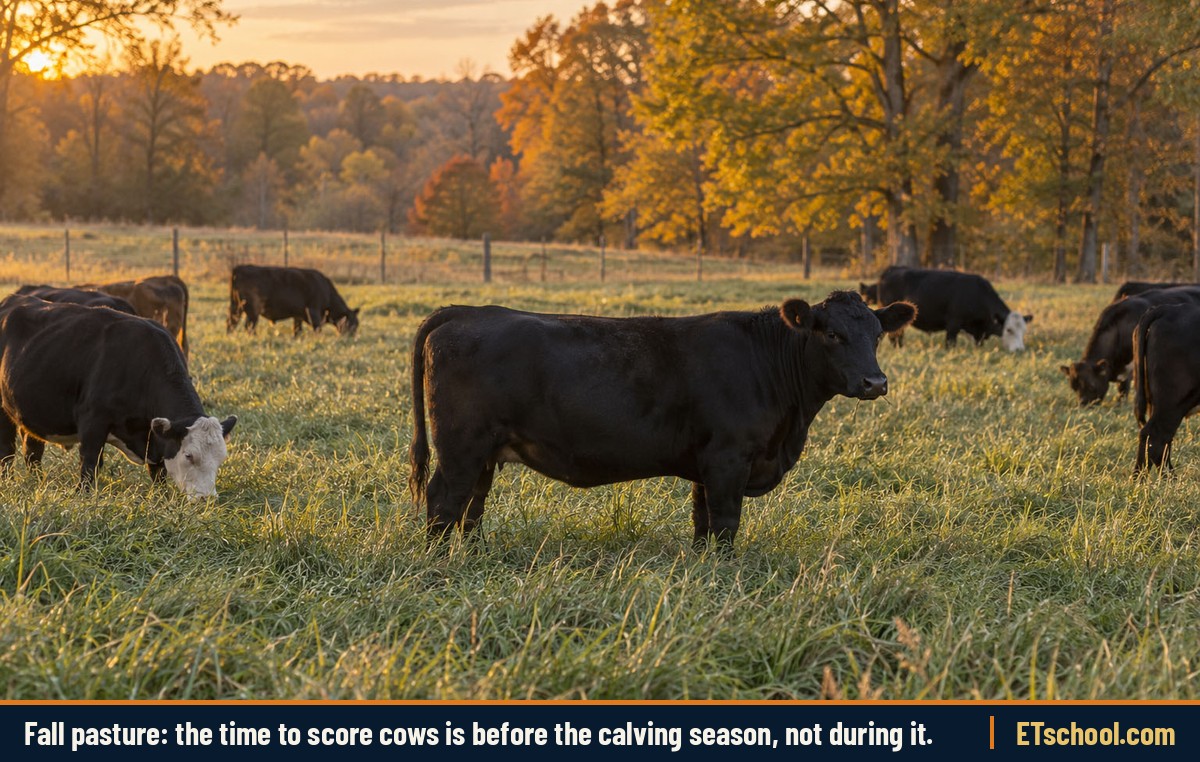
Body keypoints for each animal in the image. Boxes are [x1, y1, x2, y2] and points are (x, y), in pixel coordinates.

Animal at [0, 295, 236, 497]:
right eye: (189, 455)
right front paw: (83, 494)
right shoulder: (93, 420)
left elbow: (157, 470)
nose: (206, 498)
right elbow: (90, 462)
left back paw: (38, 481)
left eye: (221, 458)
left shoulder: (154, 437)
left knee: (32, 451)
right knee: (7, 451)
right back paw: (7, 481)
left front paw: (160, 496)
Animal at [228, 265, 360, 337]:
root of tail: (240, 268)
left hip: (236, 307)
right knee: (249, 326)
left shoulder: (298, 315)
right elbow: (317, 328)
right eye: (353, 323)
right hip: (252, 310)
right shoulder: (313, 311)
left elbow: (297, 330)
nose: (351, 338)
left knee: (231, 323)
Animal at [408, 291, 917, 550]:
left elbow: (702, 521)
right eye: (832, 334)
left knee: (471, 507)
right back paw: (440, 561)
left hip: (484, 452)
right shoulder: (729, 458)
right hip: (461, 446)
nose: (875, 382)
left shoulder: (707, 464)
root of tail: (466, 311)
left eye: (877, 333)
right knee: (444, 501)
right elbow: (725, 522)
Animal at [864, 266, 1032, 351]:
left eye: (1024, 330)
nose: (1020, 349)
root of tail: (890, 270)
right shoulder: (953, 324)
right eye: (1009, 330)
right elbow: (950, 344)